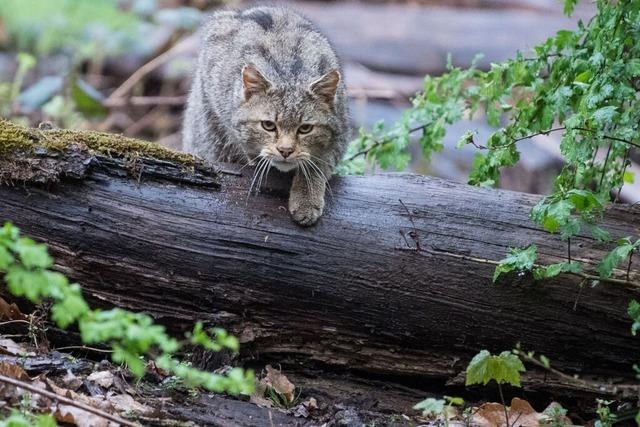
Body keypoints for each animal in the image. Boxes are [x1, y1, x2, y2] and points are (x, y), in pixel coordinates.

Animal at [182, 5, 348, 227]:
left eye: (305, 128)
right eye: (268, 125)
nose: (285, 151)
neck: (289, 73)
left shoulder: (340, 134)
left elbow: (317, 165)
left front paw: (306, 199)